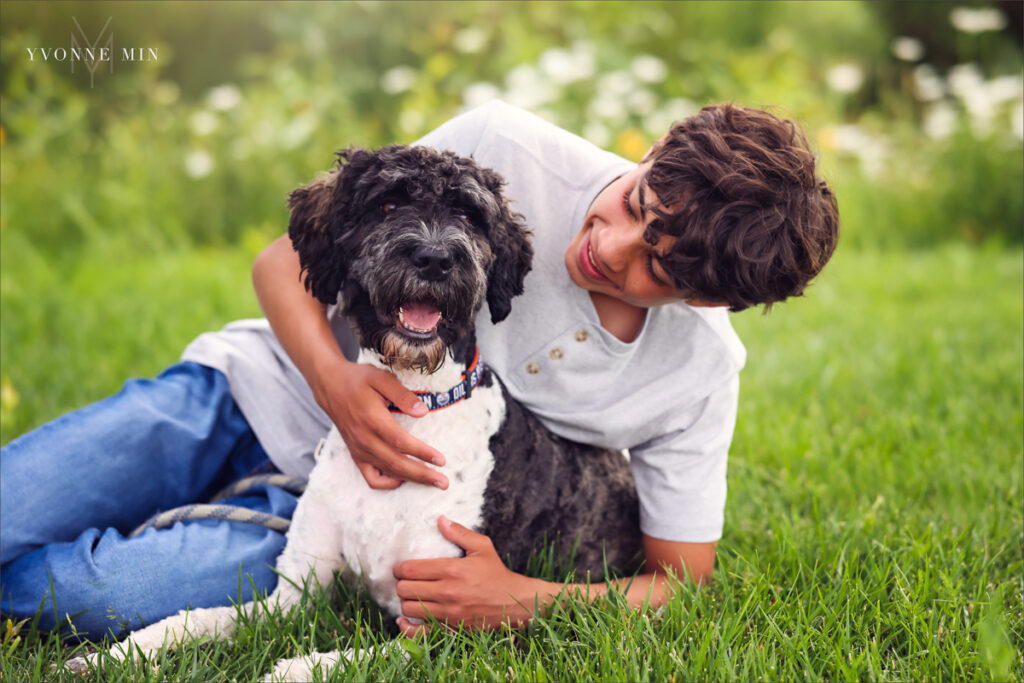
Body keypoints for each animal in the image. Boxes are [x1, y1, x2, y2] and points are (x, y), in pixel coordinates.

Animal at [72, 147, 634, 679]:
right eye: (388, 204)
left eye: (468, 215)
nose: (435, 258)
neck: (415, 403)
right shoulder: (291, 594)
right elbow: (195, 619)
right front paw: (107, 657)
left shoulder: (445, 628)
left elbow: (346, 660)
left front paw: (289, 669)